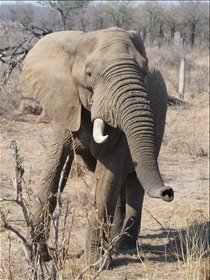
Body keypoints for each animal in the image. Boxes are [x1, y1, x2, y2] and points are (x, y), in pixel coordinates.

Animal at [20, 26, 174, 264]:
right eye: (89, 74)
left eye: (144, 73)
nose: (168, 192)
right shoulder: (66, 104)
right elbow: (53, 170)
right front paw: (37, 258)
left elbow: (107, 179)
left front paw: (93, 264)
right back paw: (114, 241)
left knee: (132, 179)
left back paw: (122, 245)